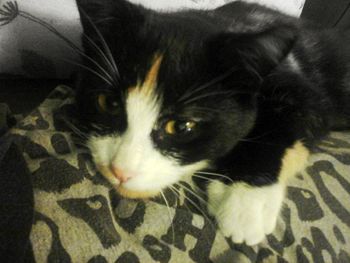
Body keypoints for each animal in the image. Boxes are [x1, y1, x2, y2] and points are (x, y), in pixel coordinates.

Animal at [74, 0, 350, 246]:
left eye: (182, 127)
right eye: (109, 103)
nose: (119, 171)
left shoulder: (308, 94)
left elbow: (293, 119)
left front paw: (246, 202)